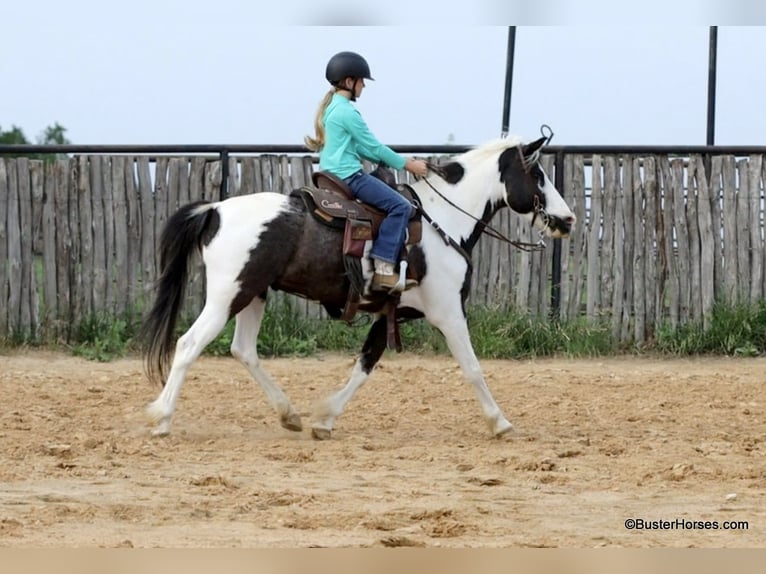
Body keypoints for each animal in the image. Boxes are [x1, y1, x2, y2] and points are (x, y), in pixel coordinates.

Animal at [141, 133, 576, 440]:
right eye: (538, 176)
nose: (568, 219)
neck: (442, 221)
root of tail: (215, 209)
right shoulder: (449, 313)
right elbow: (471, 367)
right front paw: (500, 422)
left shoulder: (390, 313)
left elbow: (365, 364)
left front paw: (325, 419)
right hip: (228, 296)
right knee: (189, 345)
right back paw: (161, 418)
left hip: (253, 295)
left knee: (243, 350)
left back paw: (289, 414)